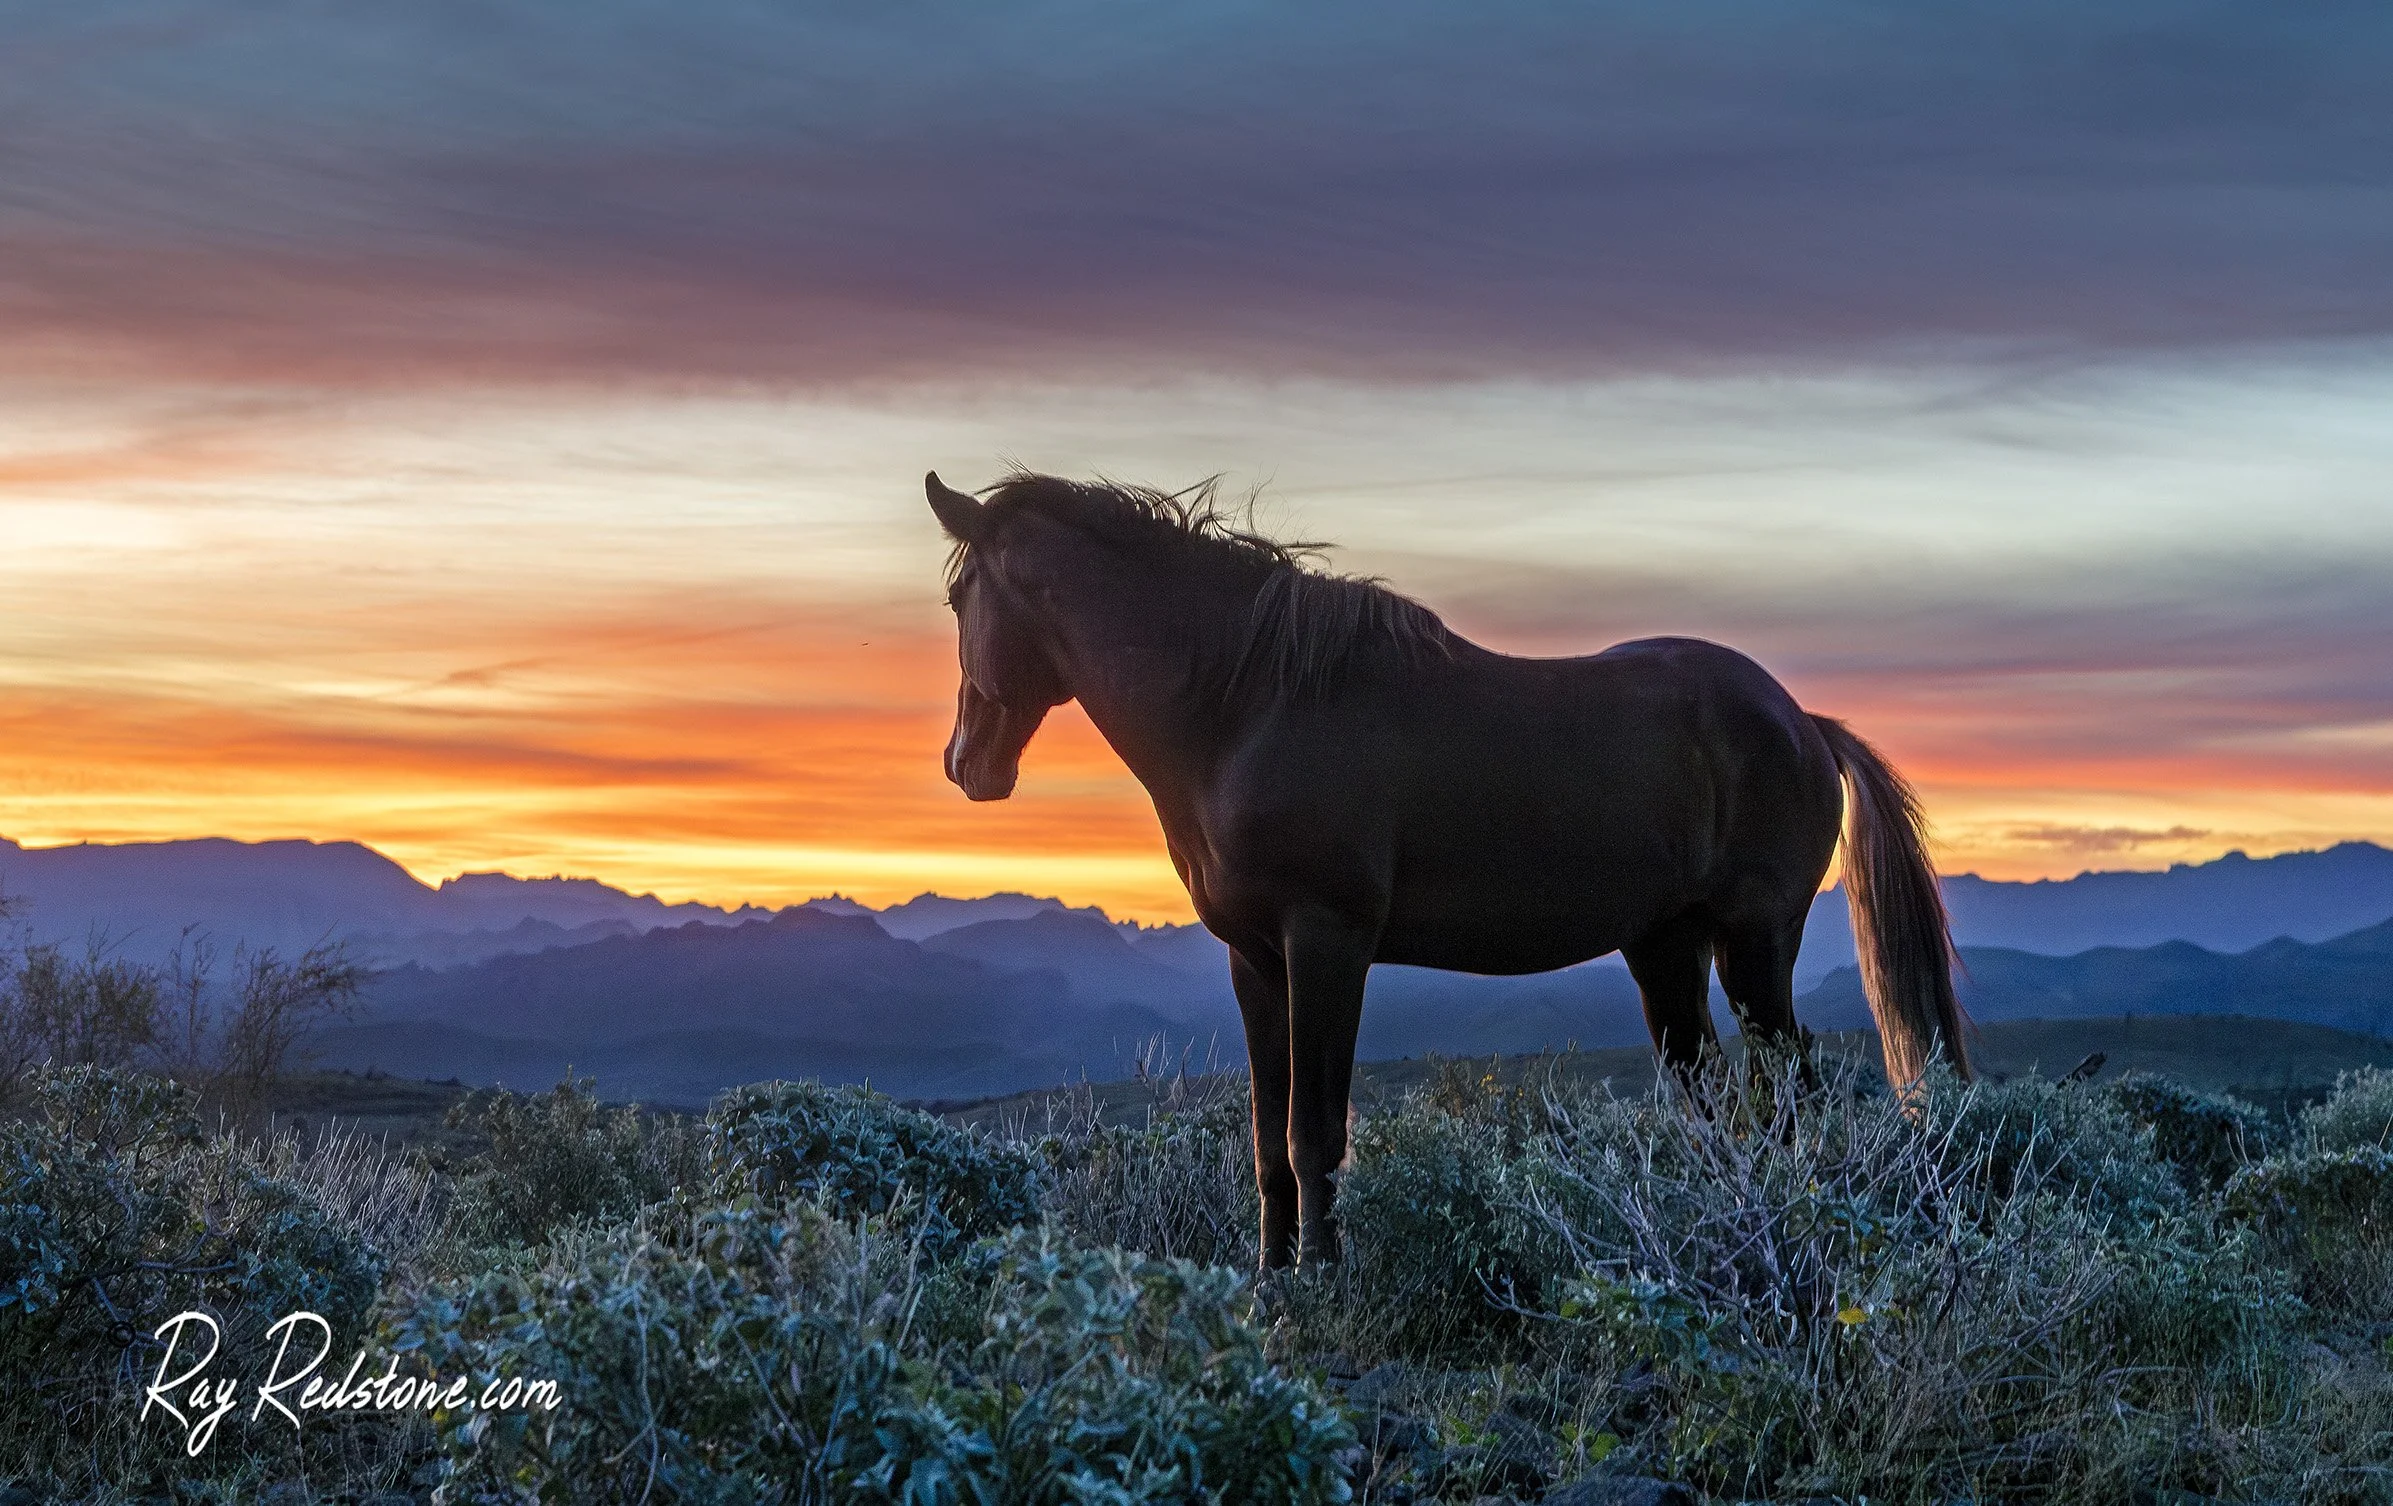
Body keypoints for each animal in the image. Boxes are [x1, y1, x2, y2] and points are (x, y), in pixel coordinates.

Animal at [925, 470, 1968, 1269]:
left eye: (956, 599)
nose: (964, 765)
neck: (1244, 710)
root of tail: (1802, 722)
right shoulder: (1254, 960)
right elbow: (1267, 1142)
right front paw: (1268, 1289)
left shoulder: (1327, 944)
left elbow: (1314, 1132)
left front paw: (1322, 1288)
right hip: (1665, 952)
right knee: (1711, 1100)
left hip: (1755, 945)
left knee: (1784, 1095)